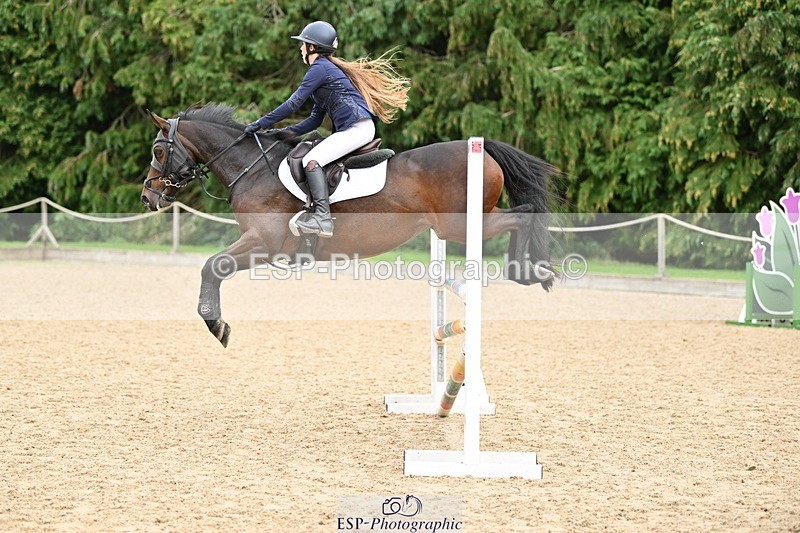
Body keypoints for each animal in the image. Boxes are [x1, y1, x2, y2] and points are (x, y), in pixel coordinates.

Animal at [140, 104, 558, 347]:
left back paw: (528, 272)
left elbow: (211, 266)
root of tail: (484, 150)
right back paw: (532, 272)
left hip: (460, 225)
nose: (148, 196)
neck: (252, 167)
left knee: (521, 214)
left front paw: (217, 326)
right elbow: (213, 267)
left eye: (159, 151)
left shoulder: (264, 243)